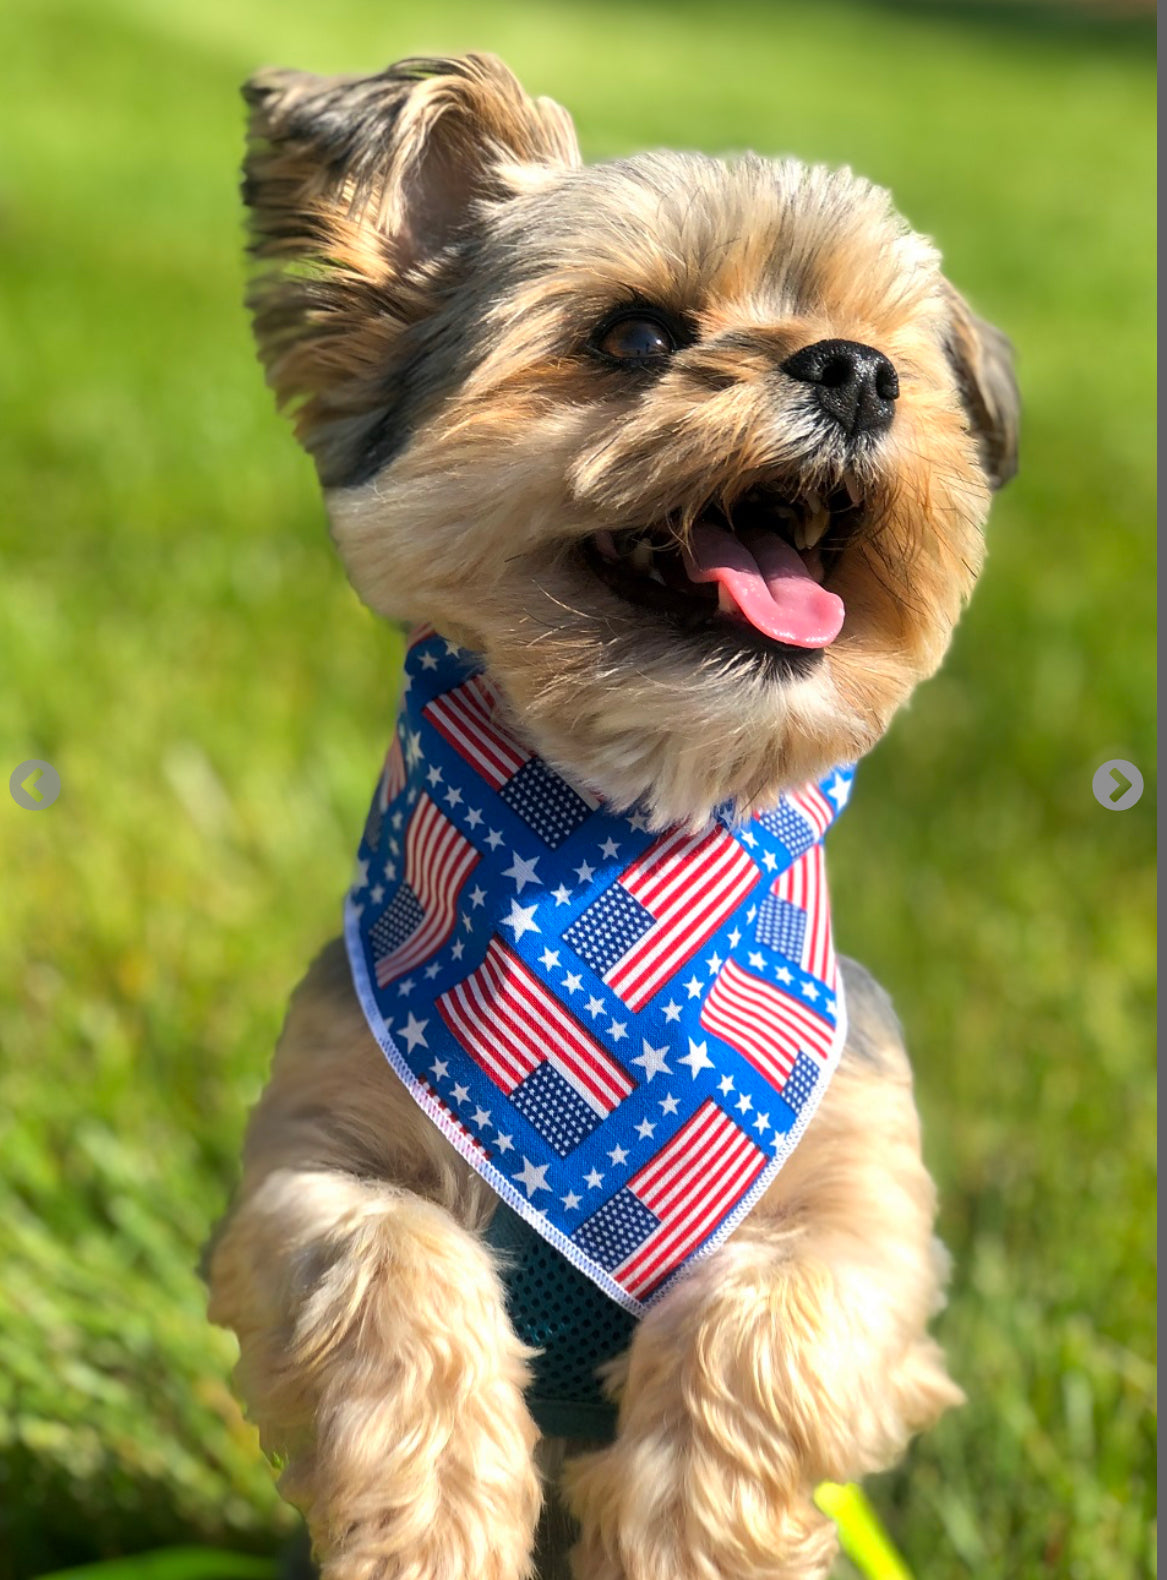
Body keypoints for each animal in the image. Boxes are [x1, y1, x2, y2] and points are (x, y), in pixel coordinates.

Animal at [205, 49, 1016, 1580]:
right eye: (636, 337)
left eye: (885, 351)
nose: (853, 369)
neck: (619, 847)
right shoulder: (316, 1158)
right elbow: (393, 1275)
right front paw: (434, 1534)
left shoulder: (863, 1214)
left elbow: (759, 1330)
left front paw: (695, 1542)